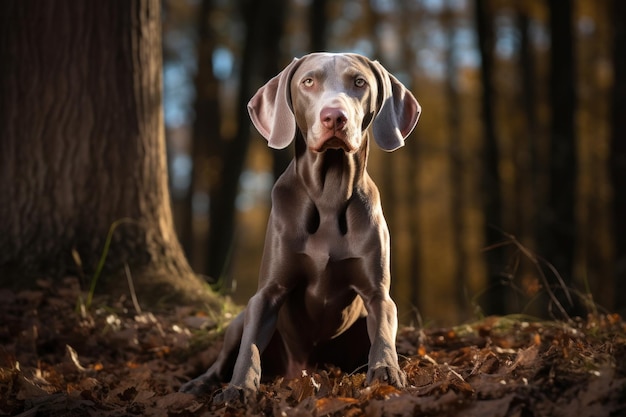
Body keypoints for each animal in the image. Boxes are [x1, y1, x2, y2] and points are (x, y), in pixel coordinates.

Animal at [180, 51, 420, 400]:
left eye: (359, 82)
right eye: (308, 82)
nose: (334, 117)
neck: (329, 192)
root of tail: (299, 371)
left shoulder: (378, 295)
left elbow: (384, 335)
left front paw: (386, 371)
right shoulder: (267, 294)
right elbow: (249, 348)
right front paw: (240, 388)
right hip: (238, 321)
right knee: (223, 358)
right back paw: (200, 383)